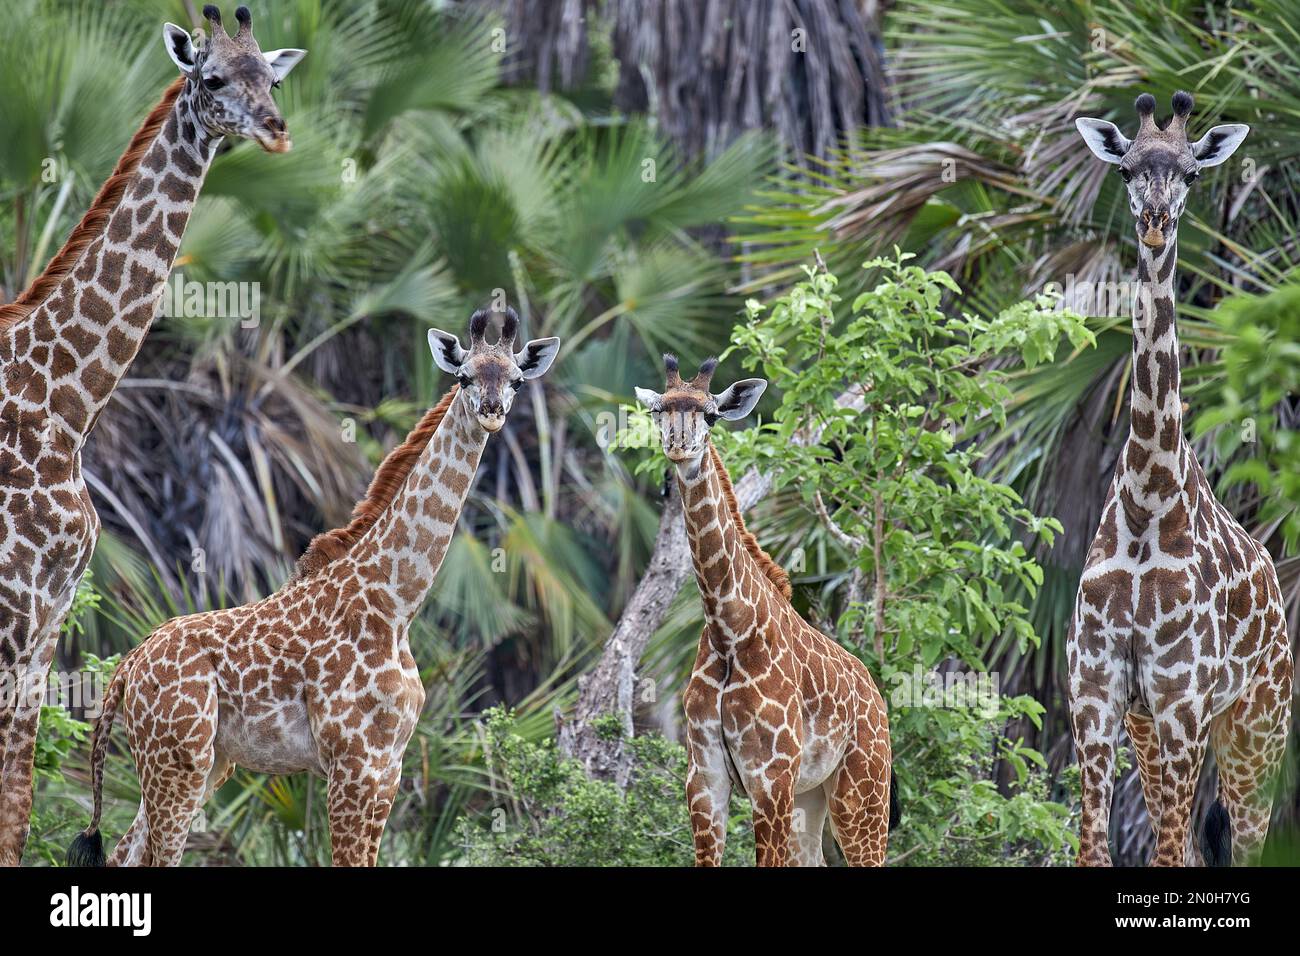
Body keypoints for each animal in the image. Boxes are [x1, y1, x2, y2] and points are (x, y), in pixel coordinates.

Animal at [0, 3, 306, 868]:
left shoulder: (46, 624)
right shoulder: (14, 610)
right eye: (213, 77)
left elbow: (17, 805)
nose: (275, 131)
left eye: (271, 79)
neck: (66, 400)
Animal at [69, 312, 559, 868]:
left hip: (206, 763)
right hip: (179, 759)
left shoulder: (388, 767)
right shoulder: (354, 763)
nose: (492, 412)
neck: (395, 604)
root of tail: (128, 667)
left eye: (516, 380)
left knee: (124, 850)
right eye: (464, 377)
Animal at [637, 356, 899, 868]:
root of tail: (878, 701)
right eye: (659, 409)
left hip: (862, 792)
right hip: (811, 797)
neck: (729, 632)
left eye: (711, 414)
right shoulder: (704, 779)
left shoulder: (770, 779)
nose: (679, 447)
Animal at [1066, 91, 1289, 868]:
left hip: (1258, 724)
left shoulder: (1183, 701)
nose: (1157, 221)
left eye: (1191, 173)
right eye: (1127, 167)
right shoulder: (1099, 697)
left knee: (1244, 840)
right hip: (1155, 730)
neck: (1146, 500)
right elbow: (1095, 850)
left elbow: (1165, 852)